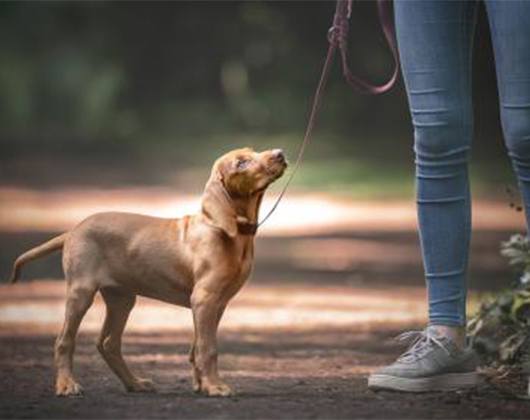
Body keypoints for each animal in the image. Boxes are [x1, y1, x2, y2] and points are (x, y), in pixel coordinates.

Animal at [8, 148, 284, 398]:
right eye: (241, 163)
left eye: (252, 151)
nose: (280, 154)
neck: (229, 232)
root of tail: (73, 230)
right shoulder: (205, 299)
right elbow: (208, 348)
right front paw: (215, 387)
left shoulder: (217, 304)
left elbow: (197, 347)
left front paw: (202, 385)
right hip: (81, 292)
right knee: (64, 341)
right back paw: (66, 385)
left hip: (122, 298)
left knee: (108, 343)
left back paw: (134, 384)